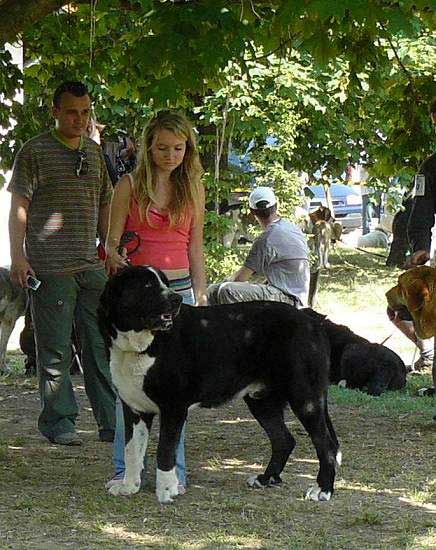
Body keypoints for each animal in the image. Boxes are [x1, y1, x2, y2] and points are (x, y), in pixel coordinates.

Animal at [99, 266, 340, 504]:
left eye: (165, 283)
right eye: (147, 285)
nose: (176, 298)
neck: (141, 346)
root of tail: (312, 321)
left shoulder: (173, 408)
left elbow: (165, 451)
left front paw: (166, 491)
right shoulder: (135, 410)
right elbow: (132, 449)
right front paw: (129, 486)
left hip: (305, 398)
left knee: (325, 445)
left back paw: (322, 489)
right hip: (262, 401)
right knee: (284, 440)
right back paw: (265, 478)